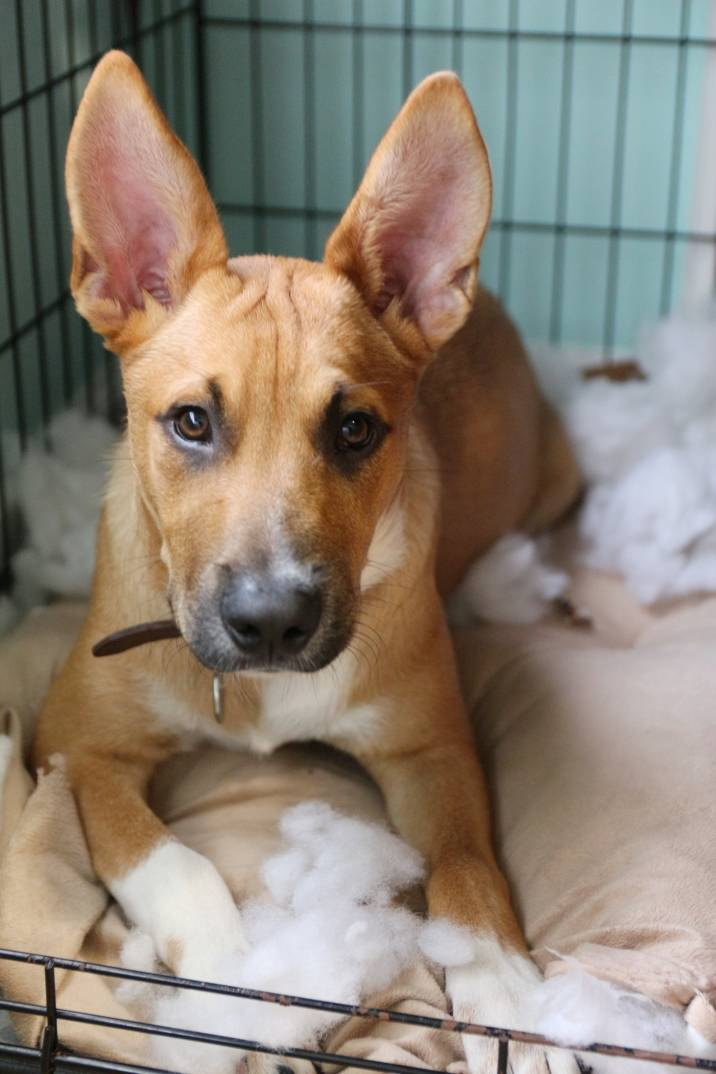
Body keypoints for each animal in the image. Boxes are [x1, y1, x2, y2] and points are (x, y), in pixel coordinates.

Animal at [34, 52, 583, 1074]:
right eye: (191, 421)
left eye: (356, 429)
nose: (271, 624)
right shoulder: (73, 742)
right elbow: (172, 860)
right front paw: (233, 986)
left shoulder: (431, 748)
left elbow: (468, 868)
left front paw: (509, 997)